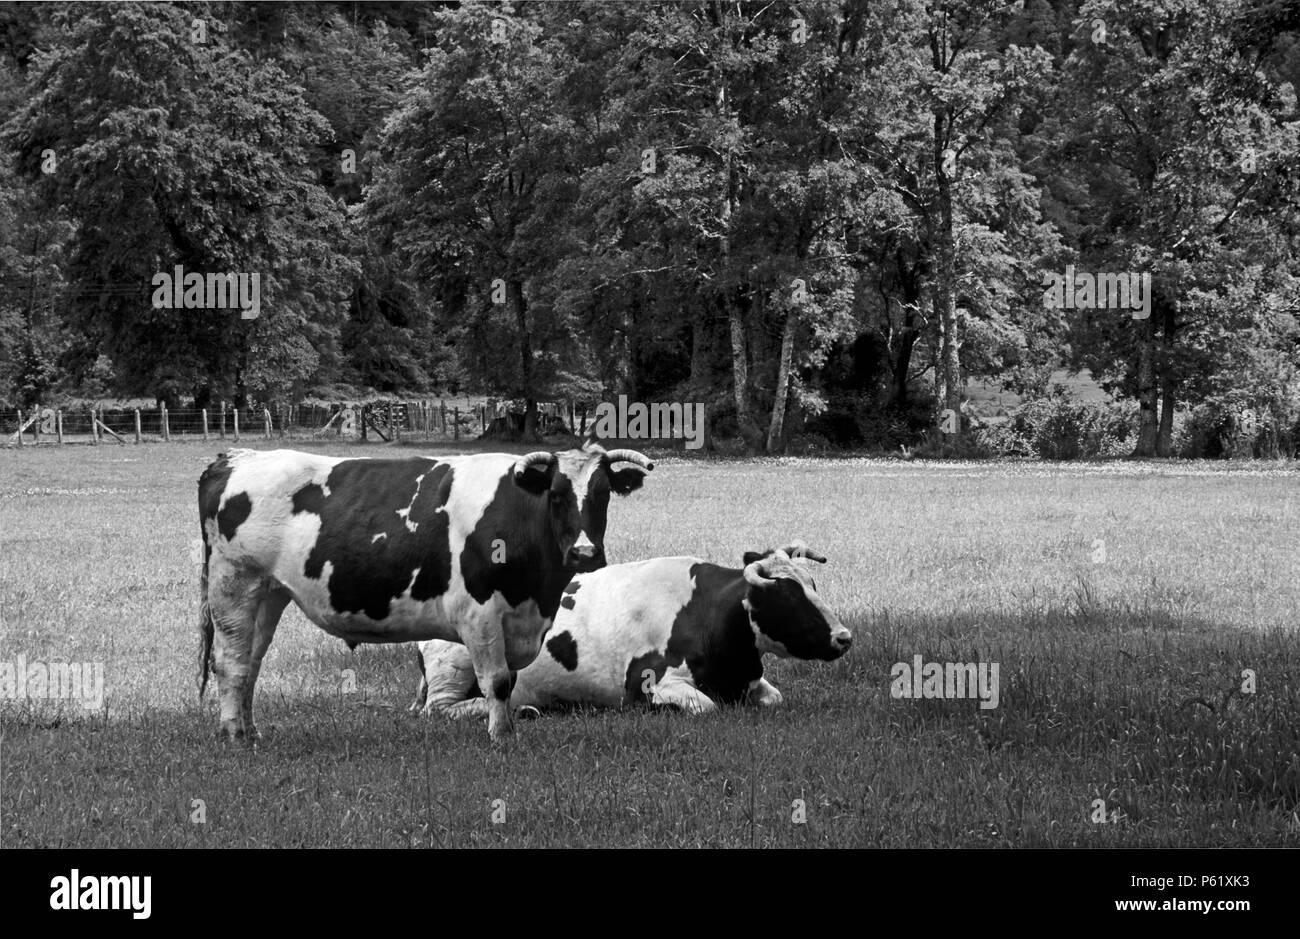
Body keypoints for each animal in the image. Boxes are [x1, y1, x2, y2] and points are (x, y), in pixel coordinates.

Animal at [197, 439, 655, 738]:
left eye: (602, 494)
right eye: (557, 496)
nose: (584, 553)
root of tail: (237, 457)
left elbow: (509, 683)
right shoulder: (479, 613)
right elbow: (497, 682)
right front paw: (502, 738)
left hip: (269, 593)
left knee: (250, 663)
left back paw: (251, 730)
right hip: (234, 583)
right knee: (231, 663)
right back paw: (235, 737)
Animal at [410, 541, 847, 707]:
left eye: (812, 584)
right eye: (786, 595)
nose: (845, 637)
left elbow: (776, 697)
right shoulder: (648, 682)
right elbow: (706, 706)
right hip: (458, 664)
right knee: (441, 709)